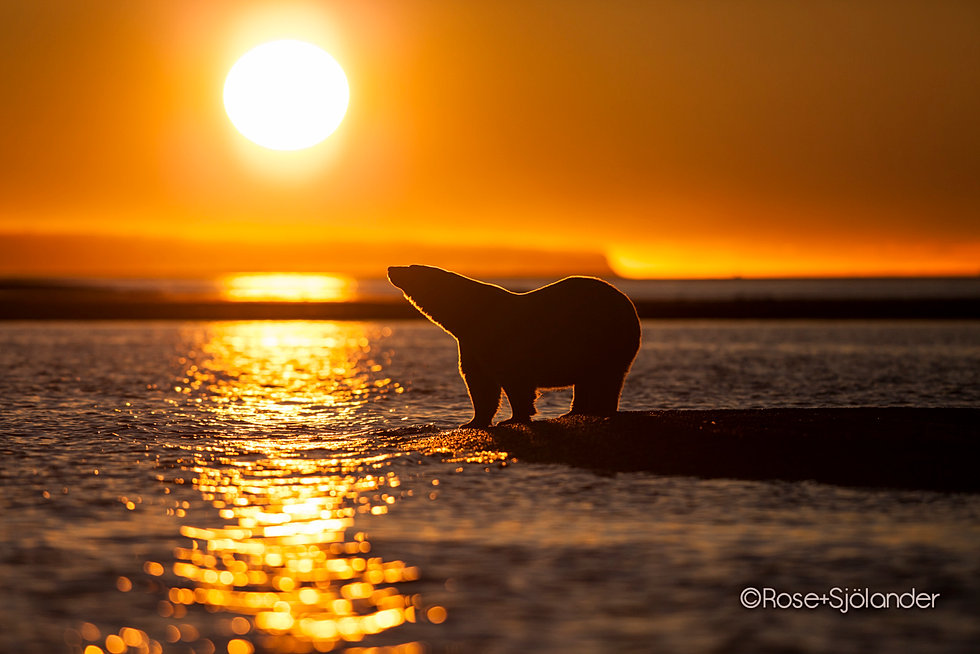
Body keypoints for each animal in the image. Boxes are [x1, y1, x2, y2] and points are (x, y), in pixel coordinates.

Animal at [386, 266, 640, 430]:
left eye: (411, 267)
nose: (391, 267)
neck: (469, 316)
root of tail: (628, 303)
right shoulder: (471, 345)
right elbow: (480, 384)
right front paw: (472, 421)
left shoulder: (504, 341)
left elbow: (514, 381)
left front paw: (513, 418)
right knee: (588, 379)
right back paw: (575, 410)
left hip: (606, 338)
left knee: (608, 376)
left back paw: (602, 409)